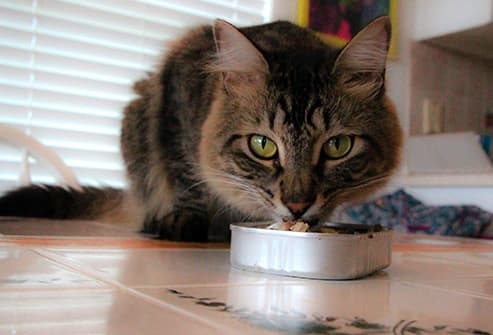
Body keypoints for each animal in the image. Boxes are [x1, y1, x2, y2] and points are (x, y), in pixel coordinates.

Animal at [0, 17, 400, 242]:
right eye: (262, 145)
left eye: (337, 146)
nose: (297, 205)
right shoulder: (177, 100)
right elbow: (185, 175)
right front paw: (185, 220)